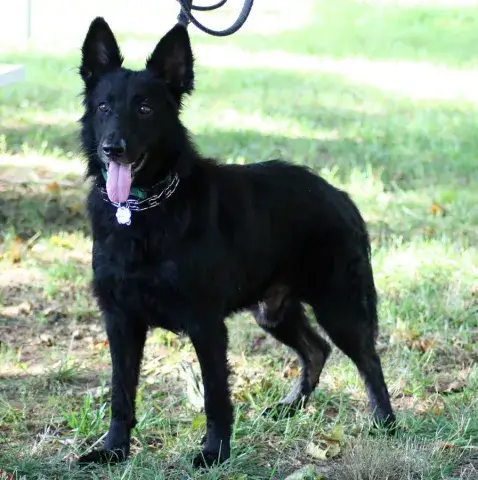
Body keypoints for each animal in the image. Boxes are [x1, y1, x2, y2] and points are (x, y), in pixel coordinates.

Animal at [77, 17, 396, 467]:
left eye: (145, 108)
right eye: (104, 107)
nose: (113, 149)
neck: (145, 210)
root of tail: (340, 195)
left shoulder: (206, 324)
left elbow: (215, 396)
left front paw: (215, 451)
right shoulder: (120, 319)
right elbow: (121, 394)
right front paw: (114, 449)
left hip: (339, 307)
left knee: (368, 359)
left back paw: (386, 422)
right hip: (273, 311)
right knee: (317, 349)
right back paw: (290, 408)